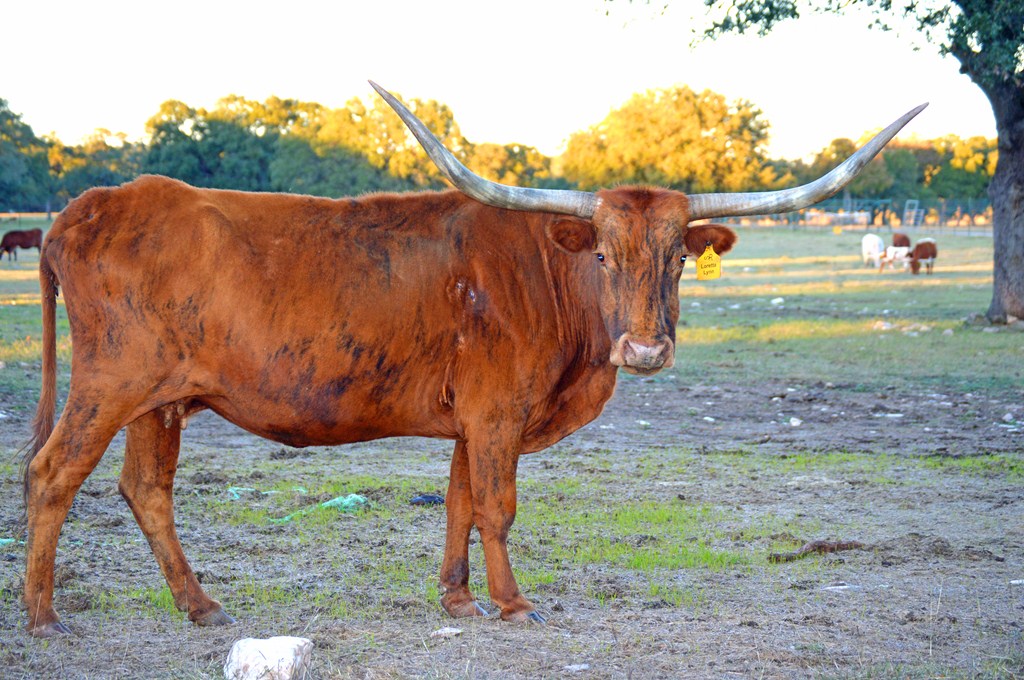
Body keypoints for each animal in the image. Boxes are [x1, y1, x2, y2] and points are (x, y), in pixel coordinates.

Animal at [20, 82, 925, 637]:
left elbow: (457, 500)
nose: (643, 347)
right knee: (52, 474)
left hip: (159, 400)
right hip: (110, 383)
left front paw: (456, 597)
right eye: (603, 254)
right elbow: (497, 505)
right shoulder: (498, 414)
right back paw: (43, 617)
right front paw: (513, 603)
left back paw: (201, 606)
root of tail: (87, 206)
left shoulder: (471, 420)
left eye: (675, 256)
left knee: (146, 490)